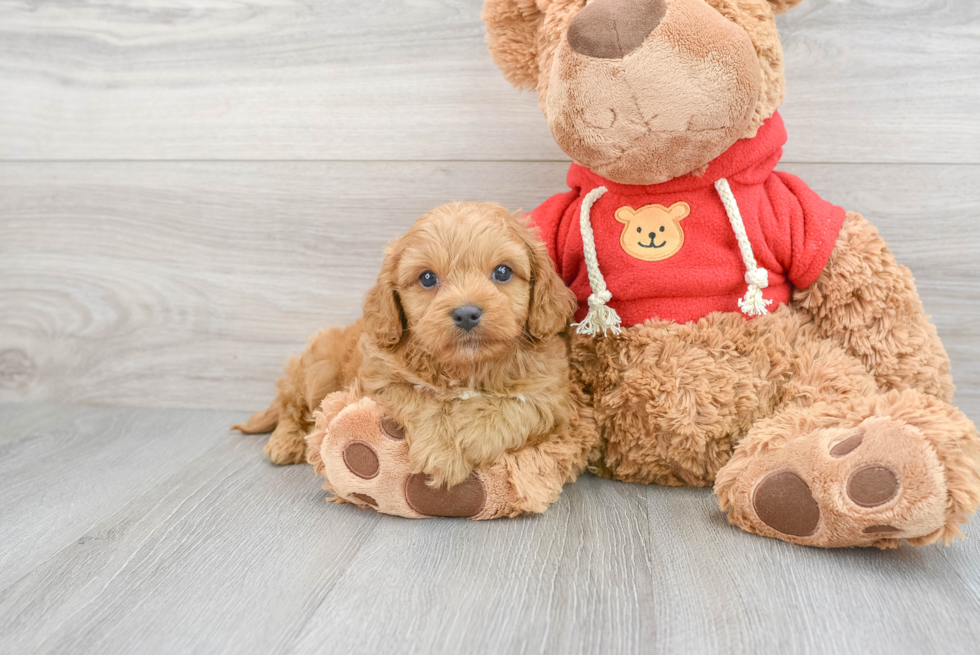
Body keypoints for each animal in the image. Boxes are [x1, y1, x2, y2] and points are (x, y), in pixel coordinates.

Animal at [234, 202, 580, 490]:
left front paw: (470, 438)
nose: (466, 313)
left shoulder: (550, 396)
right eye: (427, 278)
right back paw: (285, 442)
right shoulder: (381, 380)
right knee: (291, 407)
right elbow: (422, 400)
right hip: (317, 370)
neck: (465, 366)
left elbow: (513, 408)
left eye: (503, 272)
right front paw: (443, 452)